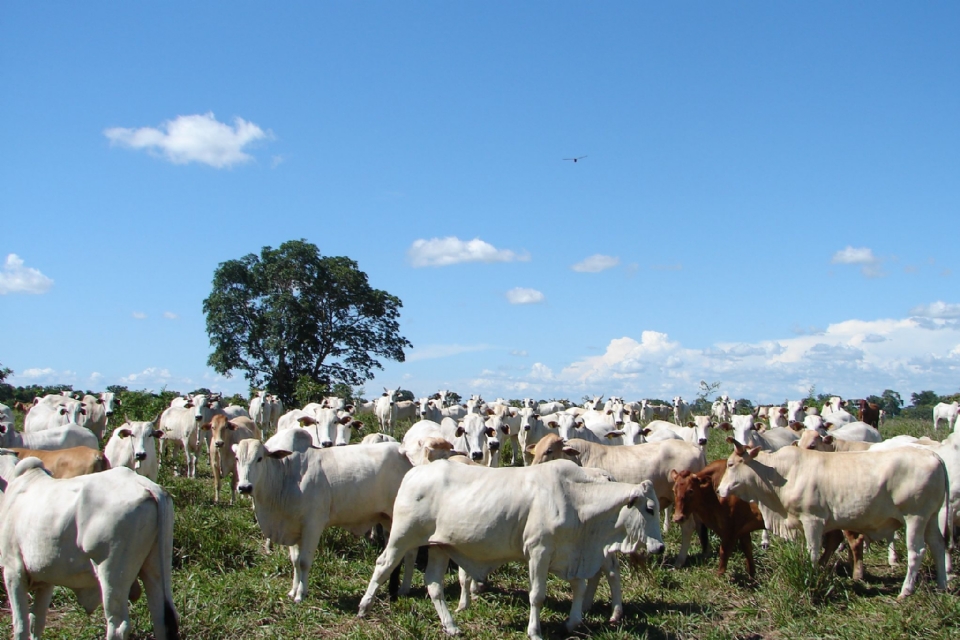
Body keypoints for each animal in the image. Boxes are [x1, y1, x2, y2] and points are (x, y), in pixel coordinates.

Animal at [0, 460, 179, 640]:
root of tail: (146, 485)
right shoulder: (45, 580)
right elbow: (36, 622)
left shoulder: (13, 571)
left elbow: (21, 625)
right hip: (156, 566)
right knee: (162, 617)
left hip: (112, 576)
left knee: (118, 626)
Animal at [356, 458, 664, 636]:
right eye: (649, 508)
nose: (660, 547)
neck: (577, 498)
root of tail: (413, 472)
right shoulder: (539, 552)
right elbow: (537, 595)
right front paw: (534, 631)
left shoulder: (569, 554)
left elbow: (579, 586)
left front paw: (573, 621)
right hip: (402, 536)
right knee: (383, 566)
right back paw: (364, 607)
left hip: (439, 545)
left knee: (433, 584)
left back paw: (452, 626)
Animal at [716, 440, 948, 600]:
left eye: (731, 464)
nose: (719, 490)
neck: (781, 474)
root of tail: (934, 455)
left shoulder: (813, 520)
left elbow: (813, 551)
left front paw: (810, 576)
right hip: (931, 518)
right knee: (938, 546)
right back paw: (942, 585)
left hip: (915, 517)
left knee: (917, 551)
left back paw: (906, 591)